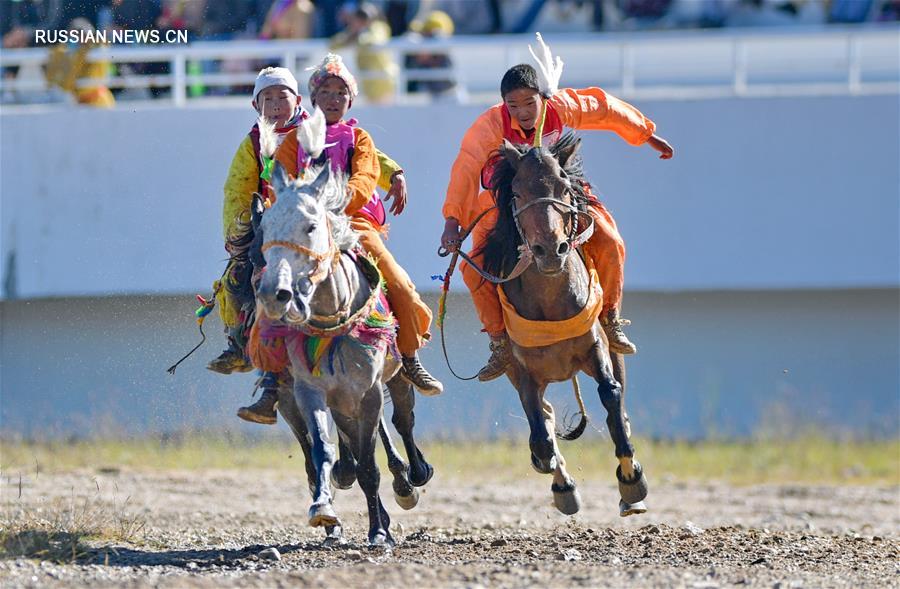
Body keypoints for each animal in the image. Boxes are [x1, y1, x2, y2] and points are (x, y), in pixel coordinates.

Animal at [255, 157, 424, 548]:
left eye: (311, 226)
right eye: (265, 228)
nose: (274, 294)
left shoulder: (369, 392)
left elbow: (370, 463)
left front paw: (378, 532)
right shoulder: (308, 391)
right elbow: (322, 450)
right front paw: (323, 510)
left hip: (394, 377)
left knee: (402, 420)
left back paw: (412, 478)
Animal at [486, 132, 648, 516]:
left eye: (562, 188)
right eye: (517, 192)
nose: (550, 249)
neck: (549, 303)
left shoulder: (594, 345)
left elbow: (611, 396)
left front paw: (631, 478)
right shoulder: (524, 371)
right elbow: (540, 429)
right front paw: (549, 467)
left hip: (613, 347)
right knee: (543, 418)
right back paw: (561, 484)